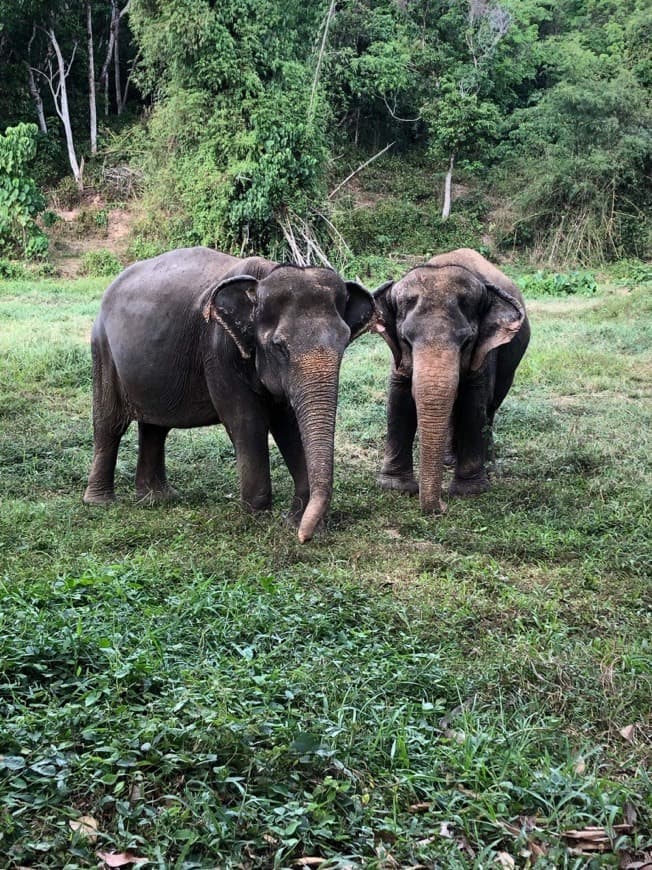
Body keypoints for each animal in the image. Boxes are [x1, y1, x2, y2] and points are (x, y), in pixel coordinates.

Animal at [83, 249, 374, 540]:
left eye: (344, 343)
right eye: (279, 347)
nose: (305, 538)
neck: (265, 276)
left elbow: (289, 425)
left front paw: (295, 522)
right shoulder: (218, 348)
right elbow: (246, 421)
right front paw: (257, 520)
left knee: (155, 427)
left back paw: (158, 498)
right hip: (103, 349)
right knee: (109, 423)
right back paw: (100, 502)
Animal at [372, 249, 528, 516]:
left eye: (467, 342)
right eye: (405, 339)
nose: (442, 506)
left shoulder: (485, 353)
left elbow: (474, 404)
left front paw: (469, 491)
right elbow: (398, 399)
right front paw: (396, 487)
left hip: (510, 368)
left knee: (491, 407)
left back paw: (488, 465)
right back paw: (448, 460)